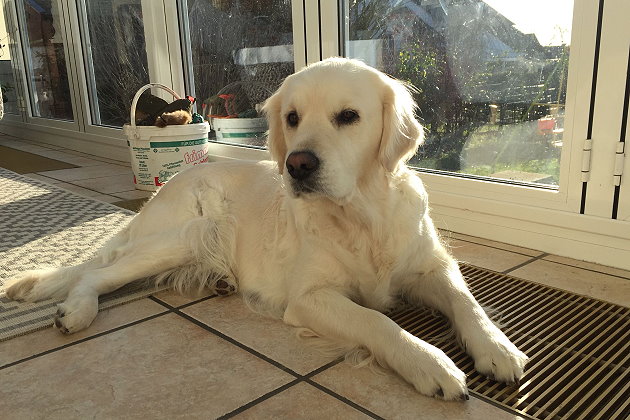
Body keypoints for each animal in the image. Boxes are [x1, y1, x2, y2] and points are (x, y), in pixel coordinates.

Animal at [5, 58, 527, 400]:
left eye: (349, 117)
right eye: (292, 118)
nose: (298, 164)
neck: (361, 215)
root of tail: (164, 189)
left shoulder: (430, 266)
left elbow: (465, 301)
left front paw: (496, 347)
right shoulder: (309, 297)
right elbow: (377, 320)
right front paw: (429, 362)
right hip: (189, 232)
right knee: (95, 273)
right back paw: (76, 312)